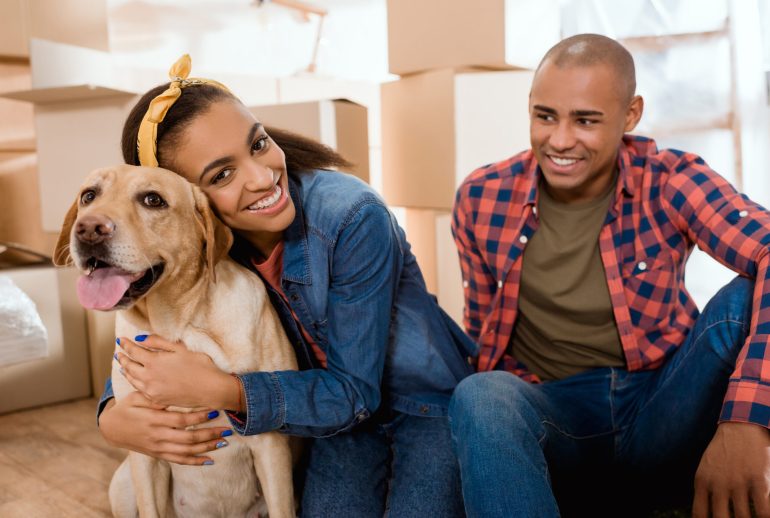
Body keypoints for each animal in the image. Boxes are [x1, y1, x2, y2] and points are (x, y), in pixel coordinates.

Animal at [53, 166, 296, 518]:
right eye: (89, 195)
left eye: (153, 200)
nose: (88, 229)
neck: (181, 327)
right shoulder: (142, 445)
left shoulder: (271, 444)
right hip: (123, 484)